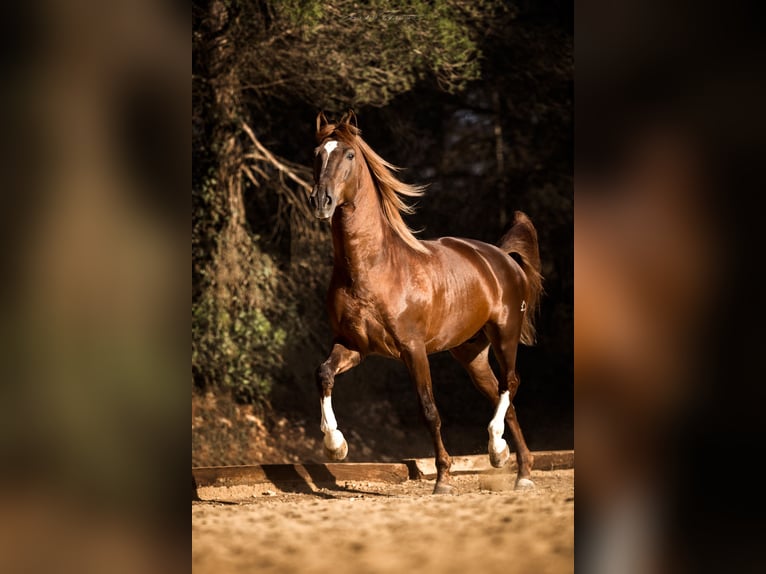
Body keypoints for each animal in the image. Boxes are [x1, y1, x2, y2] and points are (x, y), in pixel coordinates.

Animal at [308, 112, 544, 496]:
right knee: (500, 394)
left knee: (511, 383)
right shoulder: (354, 345)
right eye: (317, 153)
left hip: (505, 335)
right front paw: (335, 446)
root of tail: (503, 257)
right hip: (471, 352)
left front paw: (443, 479)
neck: (373, 267)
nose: (321, 201)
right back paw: (516, 467)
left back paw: (501, 453)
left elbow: (429, 409)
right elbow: (324, 374)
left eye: (349, 155)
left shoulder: (412, 348)